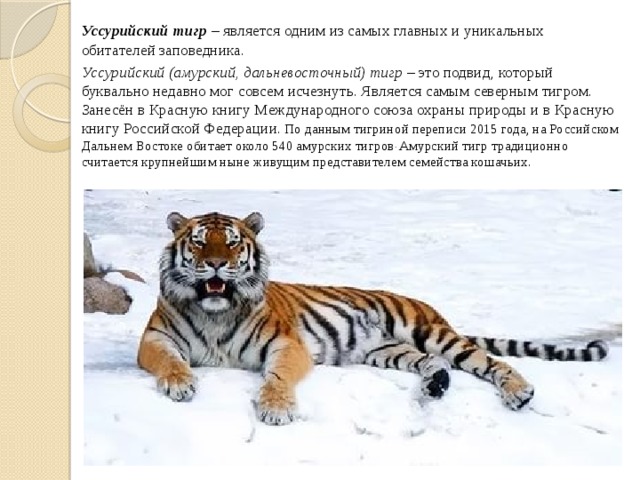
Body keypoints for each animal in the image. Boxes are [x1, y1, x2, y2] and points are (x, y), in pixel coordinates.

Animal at [137, 210, 609, 426]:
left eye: (233, 243)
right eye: (200, 242)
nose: (216, 264)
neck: (215, 312)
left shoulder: (286, 344)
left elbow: (277, 376)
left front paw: (275, 408)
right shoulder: (155, 339)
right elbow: (170, 361)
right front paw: (179, 384)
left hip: (428, 331)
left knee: (490, 362)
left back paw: (519, 392)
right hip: (387, 351)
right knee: (435, 365)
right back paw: (434, 387)